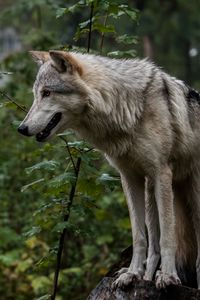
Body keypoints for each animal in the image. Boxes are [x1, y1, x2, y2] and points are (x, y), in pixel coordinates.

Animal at [18, 50, 200, 290]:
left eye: (47, 93)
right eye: (36, 94)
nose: (21, 128)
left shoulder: (162, 173)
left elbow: (168, 237)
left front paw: (169, 277)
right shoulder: (130, 177)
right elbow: (139, 237)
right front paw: (132, 274)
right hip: (151, 190)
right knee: (154, 247)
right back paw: (146, 277)